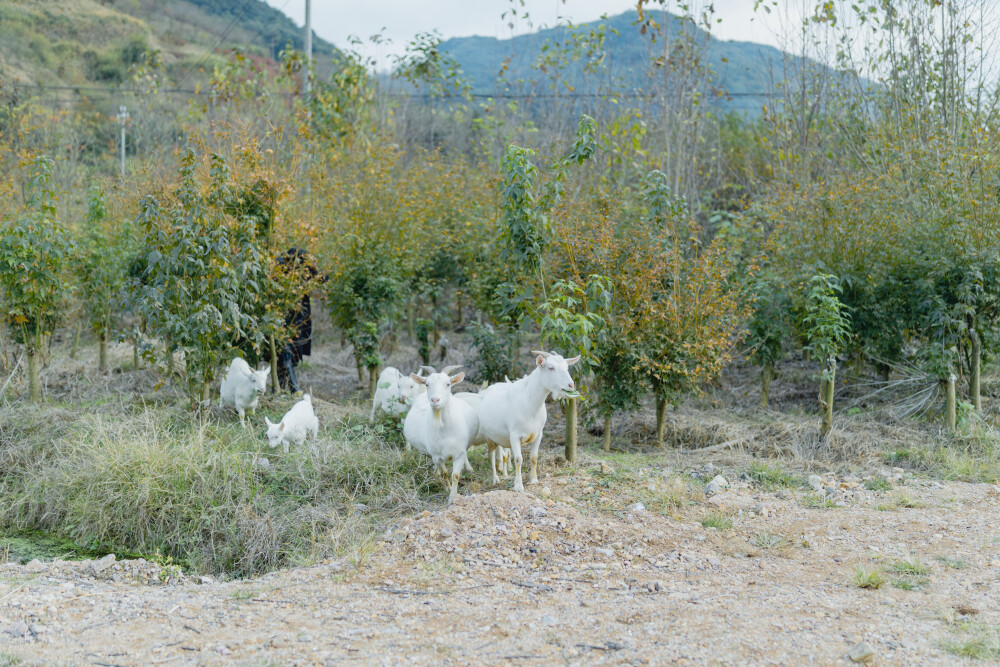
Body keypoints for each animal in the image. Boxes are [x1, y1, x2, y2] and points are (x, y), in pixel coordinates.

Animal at [406, 368, 484, 504]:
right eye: (427, 384)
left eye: (448, 384)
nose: (435, 400)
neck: (444, 430)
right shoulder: (437, 457)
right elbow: (445, 473)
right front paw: (447, 488)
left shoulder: (459, 453)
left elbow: (455, 475)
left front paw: (453, 496)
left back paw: (469, 469)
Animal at [476, 350, 580, 490]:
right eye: (551, 368)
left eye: (567, 367)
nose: (571, 385)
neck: (530, 403)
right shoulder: (514, 435)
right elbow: (518, 459)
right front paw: (518, 486)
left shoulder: (538, 434)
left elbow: (534, 457)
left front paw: (534, 480)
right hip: (488, 436)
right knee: (491, 455)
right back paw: (495, 479)